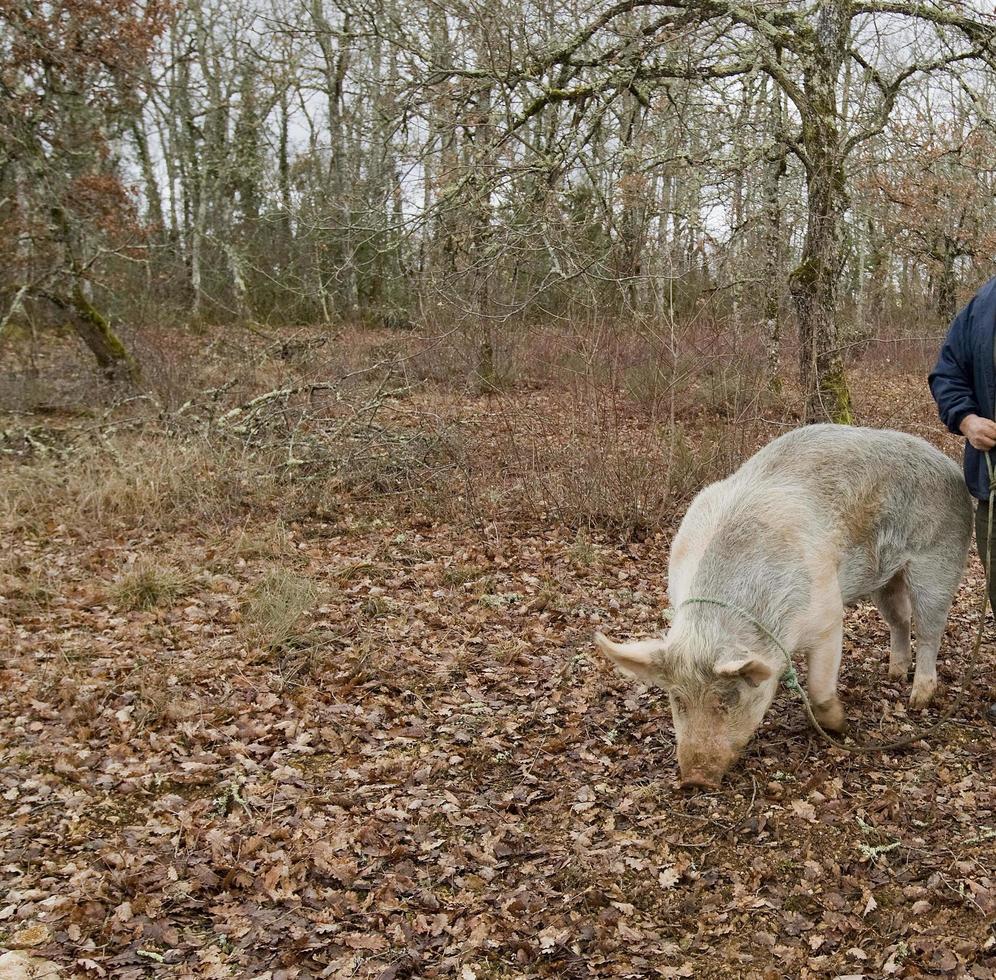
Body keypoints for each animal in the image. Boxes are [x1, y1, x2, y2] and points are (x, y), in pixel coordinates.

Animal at [596, 424, 968, 792]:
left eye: (729, 698)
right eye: (677, 699)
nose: (695, 781)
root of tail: (952, 468)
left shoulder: (828, 616)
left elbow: (819, 689)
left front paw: (842, 727)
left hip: (938, 561)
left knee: (930, 630)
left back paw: (918, 699)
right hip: (885, 579)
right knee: (899, 620)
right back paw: (894, 674)